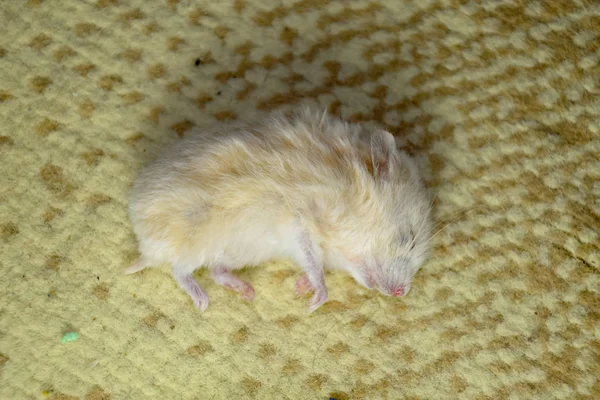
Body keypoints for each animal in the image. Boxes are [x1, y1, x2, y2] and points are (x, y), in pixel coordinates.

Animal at [126, 108, 434, 314]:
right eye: (408, 238)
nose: (401, 293)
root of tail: (146, 245)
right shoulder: (299, 221)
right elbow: (313, 261)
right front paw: (314, 302)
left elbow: (312, 263)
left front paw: (301, 287)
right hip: (195, 239)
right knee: (179, 270)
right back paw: (202, 302)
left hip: (233, 252)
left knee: (215, 271)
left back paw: (247, 292)